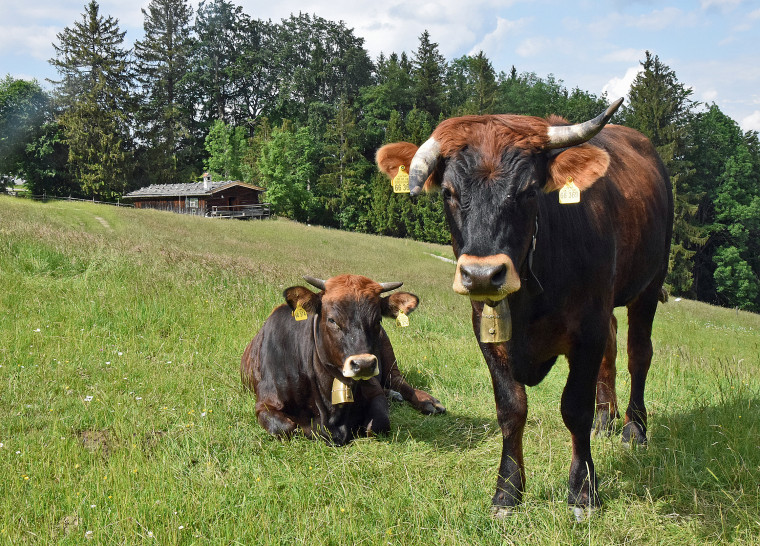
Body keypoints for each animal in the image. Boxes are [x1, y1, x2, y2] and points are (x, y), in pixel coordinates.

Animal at [241, 274, 445, 446]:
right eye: (332, 320)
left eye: (378, 320)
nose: (364, 364)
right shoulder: (265, 403)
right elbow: (285, 428)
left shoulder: (374, 390)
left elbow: (377, 424)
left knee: (398, 381)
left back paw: (428, 402)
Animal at [376, 98, 673, 516]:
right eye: (448, 192)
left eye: (529, 190)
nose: (482, 274)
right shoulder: (487, 332)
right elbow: (511, 409)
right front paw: (507, 491)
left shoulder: (587, 328)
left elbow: (574, 408)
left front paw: (583, 490)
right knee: (613, 350)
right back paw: (606, 418)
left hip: (648, 286)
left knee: (638, 354)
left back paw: (634, 428)